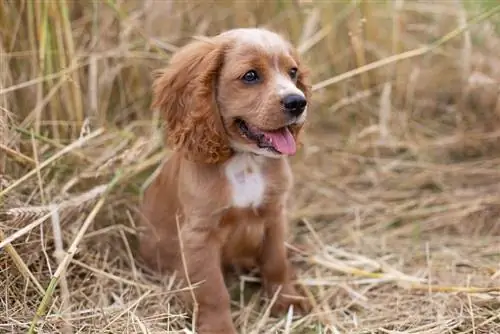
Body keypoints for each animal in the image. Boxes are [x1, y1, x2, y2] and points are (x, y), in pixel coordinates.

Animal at [141, 28, 310, 334]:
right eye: (251, 76)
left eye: (293, 72)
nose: (298, 102)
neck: (245, 161)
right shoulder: (199, 236)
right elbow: (213, 291)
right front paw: (219, 327)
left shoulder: (274, 215)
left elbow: (276, 262)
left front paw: (287, 300)